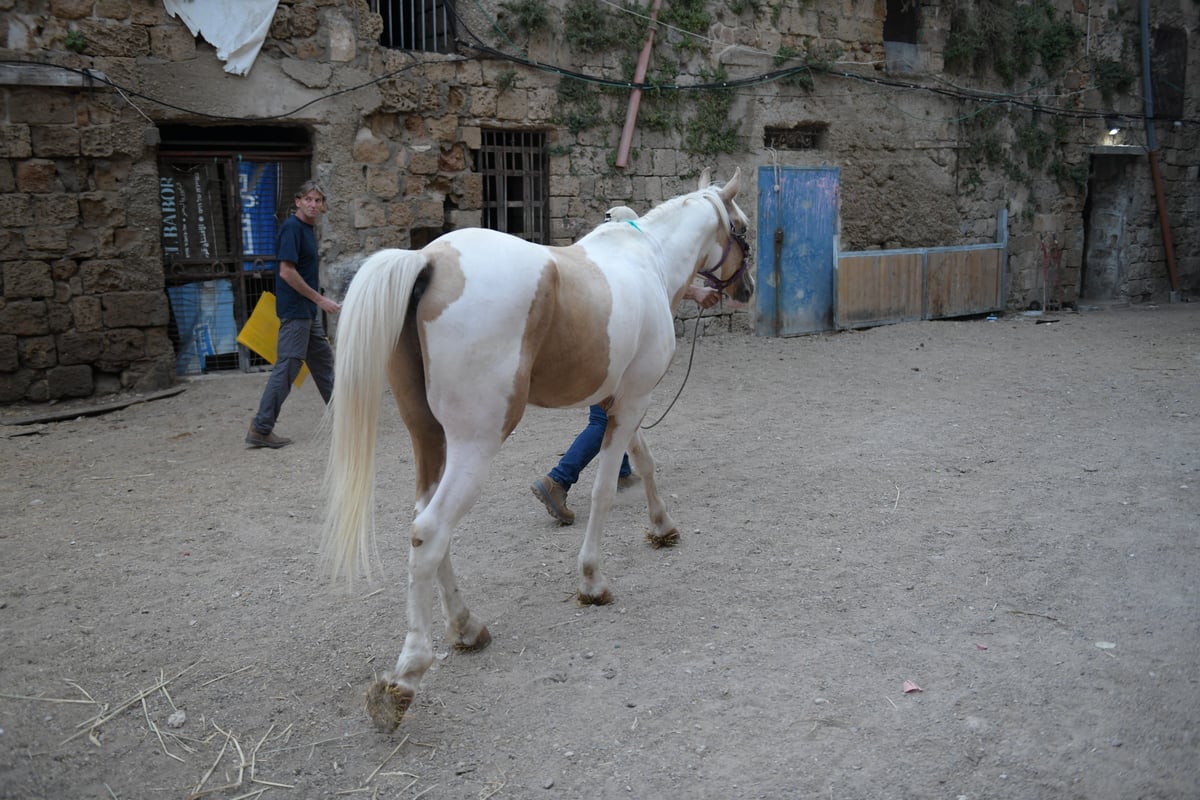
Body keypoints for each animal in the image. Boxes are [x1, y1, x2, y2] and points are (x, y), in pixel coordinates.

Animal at [319, 169, 748, 734]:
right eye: (744, 229)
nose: (743, 290)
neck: (648, 257)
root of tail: (430, 260)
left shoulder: (618, 401)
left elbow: (645, 463)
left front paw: (662, 527)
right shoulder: (633, 400)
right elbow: (605, 489)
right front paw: (592, 580)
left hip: (430, 438)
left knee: (427, 526)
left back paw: (467, 626)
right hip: (475, 444)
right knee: (430, 531)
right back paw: (407, 675)